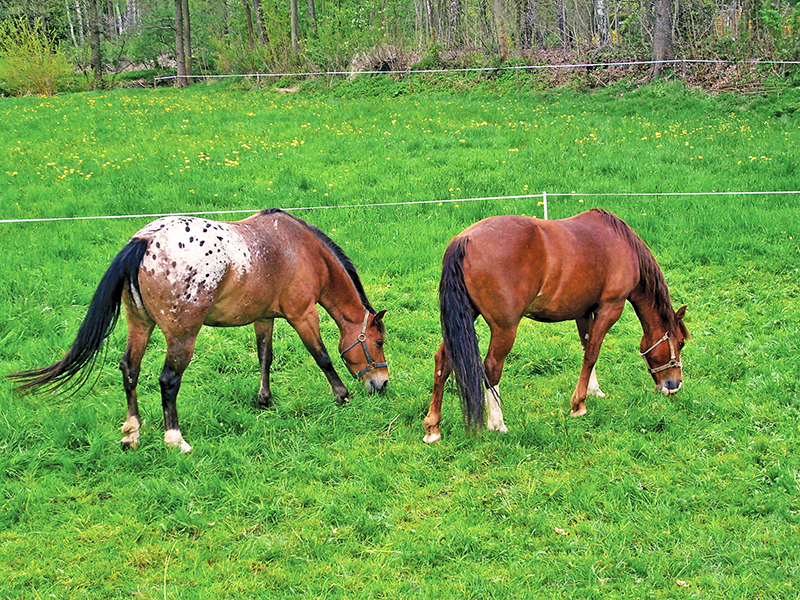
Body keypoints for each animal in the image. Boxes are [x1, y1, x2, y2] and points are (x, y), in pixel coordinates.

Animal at [8, 209, 389, 452]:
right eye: (378, 341)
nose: (382, 383)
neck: (300, 249)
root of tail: (144, 241)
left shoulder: (264, 317)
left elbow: (265, 356)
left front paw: (265, 400)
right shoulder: (303, 315)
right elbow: (322, 356)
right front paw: (341, 395)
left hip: (139, 325)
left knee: (130, 369)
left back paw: (132, 433)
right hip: (182, 336)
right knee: (167, 381)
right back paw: (175, 440)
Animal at [423, 208, 688, 443]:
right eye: (680, 343)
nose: (674, 385)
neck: (621, 244)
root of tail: (464, 240)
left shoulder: (584, 312)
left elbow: (587, 349)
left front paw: (593, 391)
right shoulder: (610, 308)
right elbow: (592, 353)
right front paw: (579, 404)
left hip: (464, 316)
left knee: (443, 361)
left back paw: (433, 427)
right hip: (504, 328)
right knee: (491, 367)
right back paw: (498, 424)